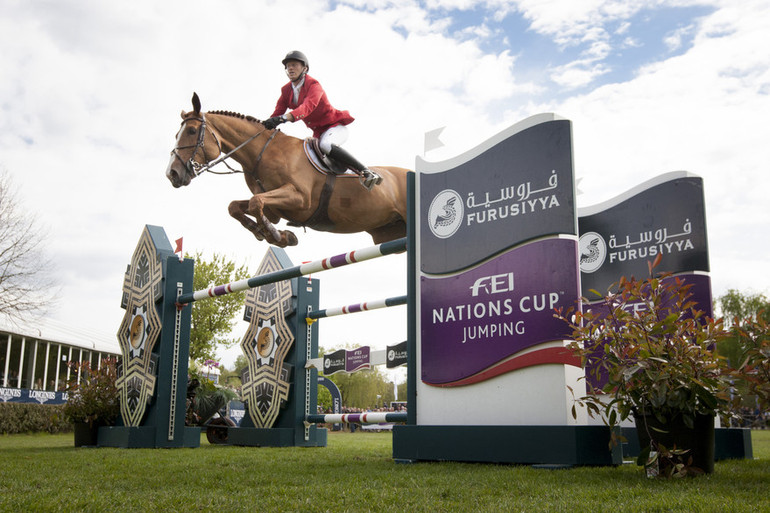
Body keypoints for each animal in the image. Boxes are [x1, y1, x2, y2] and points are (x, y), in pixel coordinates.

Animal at [166, 92, 412, 248]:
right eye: (177, 133)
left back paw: (369, 176)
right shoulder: (274, 209)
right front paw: (269, 234)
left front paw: (278, 237)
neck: (263, 152)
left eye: (191, 131)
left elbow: (256, 203)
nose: (172, 174)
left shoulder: (300, 198)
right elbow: (237, 206)